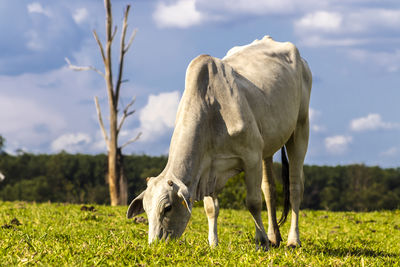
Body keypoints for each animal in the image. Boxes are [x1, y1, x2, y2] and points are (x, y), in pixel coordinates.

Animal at [128, 35, 312, 251]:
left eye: (167, 207)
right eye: (146, 210)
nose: (155, 244)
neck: (212, 112)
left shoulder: (251, 157)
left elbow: (253, 202)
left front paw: (260, 241)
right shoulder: (207, 167)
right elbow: (211, 208)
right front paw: (213, 243)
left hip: (300, 127)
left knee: (295, 187)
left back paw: (293, 239)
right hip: (268, 146)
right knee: (269, 189)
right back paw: (274, 237)